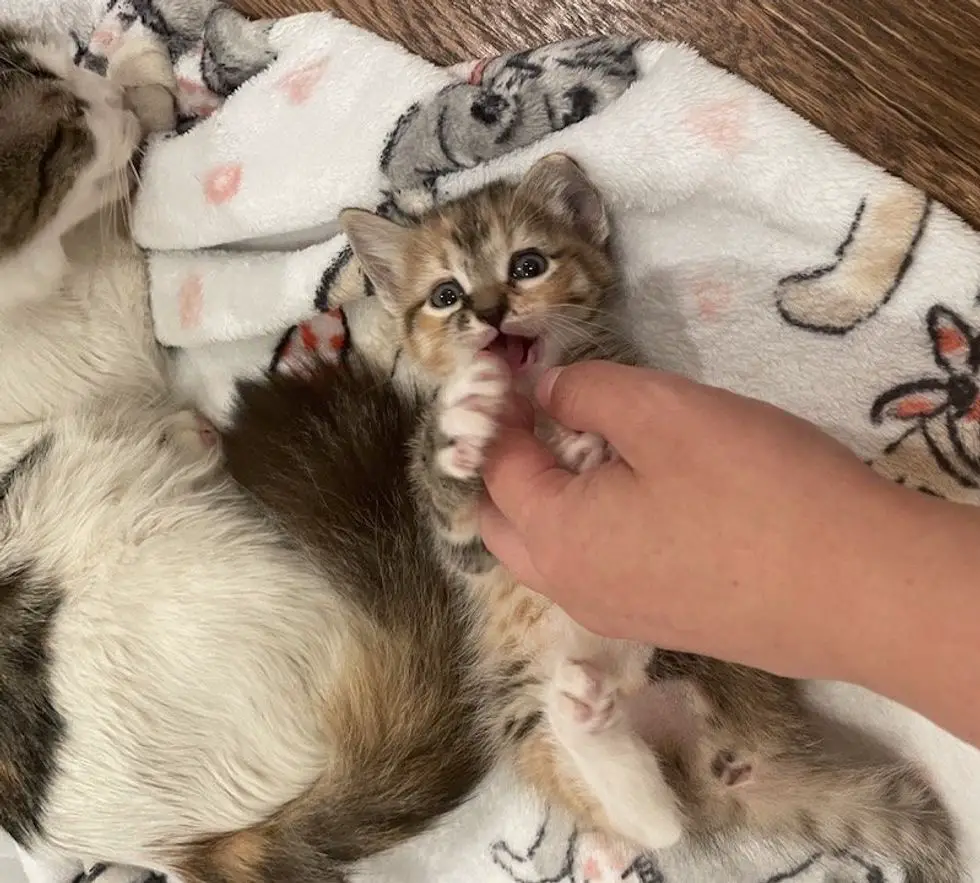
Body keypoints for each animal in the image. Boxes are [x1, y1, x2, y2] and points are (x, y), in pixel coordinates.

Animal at [294, 155, 960, 880]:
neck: (530, 407)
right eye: (445, 294)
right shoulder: (458, 543)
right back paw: (594, 729)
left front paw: (578, 449)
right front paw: (465, 429)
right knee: (658, 821)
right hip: (516, 703)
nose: (490, 312)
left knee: (669, 819)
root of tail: (733, 766)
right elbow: (454, 504)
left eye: (528, 264)